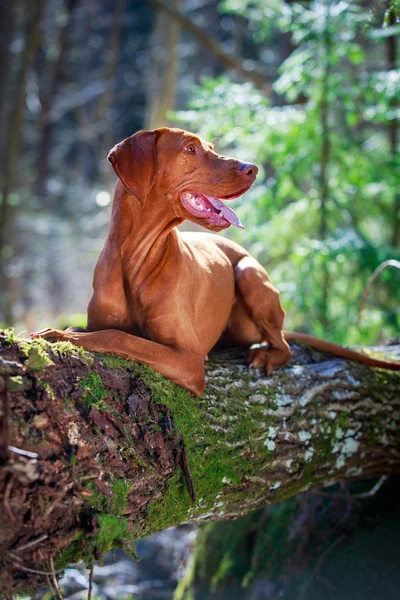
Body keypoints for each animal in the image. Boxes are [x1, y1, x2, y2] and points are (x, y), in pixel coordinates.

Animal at [33, 126, 400, 392]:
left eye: (209, 147)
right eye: (190, 149)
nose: (253, 168)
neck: (135, 259)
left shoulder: (188, 359)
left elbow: (117, 336)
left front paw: (60, 334)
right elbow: (107, 330)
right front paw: (69, 331)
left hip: (249, 274)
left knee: (284, 346)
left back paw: (265, 355)